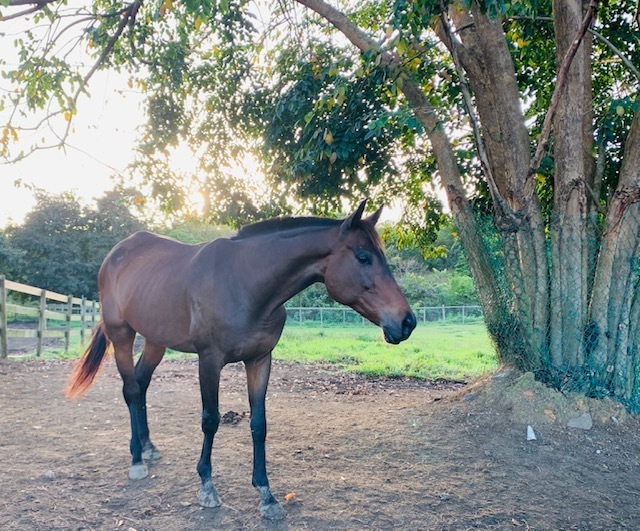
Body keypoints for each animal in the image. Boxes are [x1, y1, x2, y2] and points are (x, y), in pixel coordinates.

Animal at [66, 199, 416, 519]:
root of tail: (116, 254)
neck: (247, 284)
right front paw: (207, 486)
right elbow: (210, 419)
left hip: (155, 341)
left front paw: (267, 495)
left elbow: (259, 424)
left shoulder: (260, 360)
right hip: (122, 335)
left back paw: (149, 448)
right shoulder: (209, 361)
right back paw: (137, 460)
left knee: (141, 383)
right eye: (363, 257)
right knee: (131, 390)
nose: (407, 322)